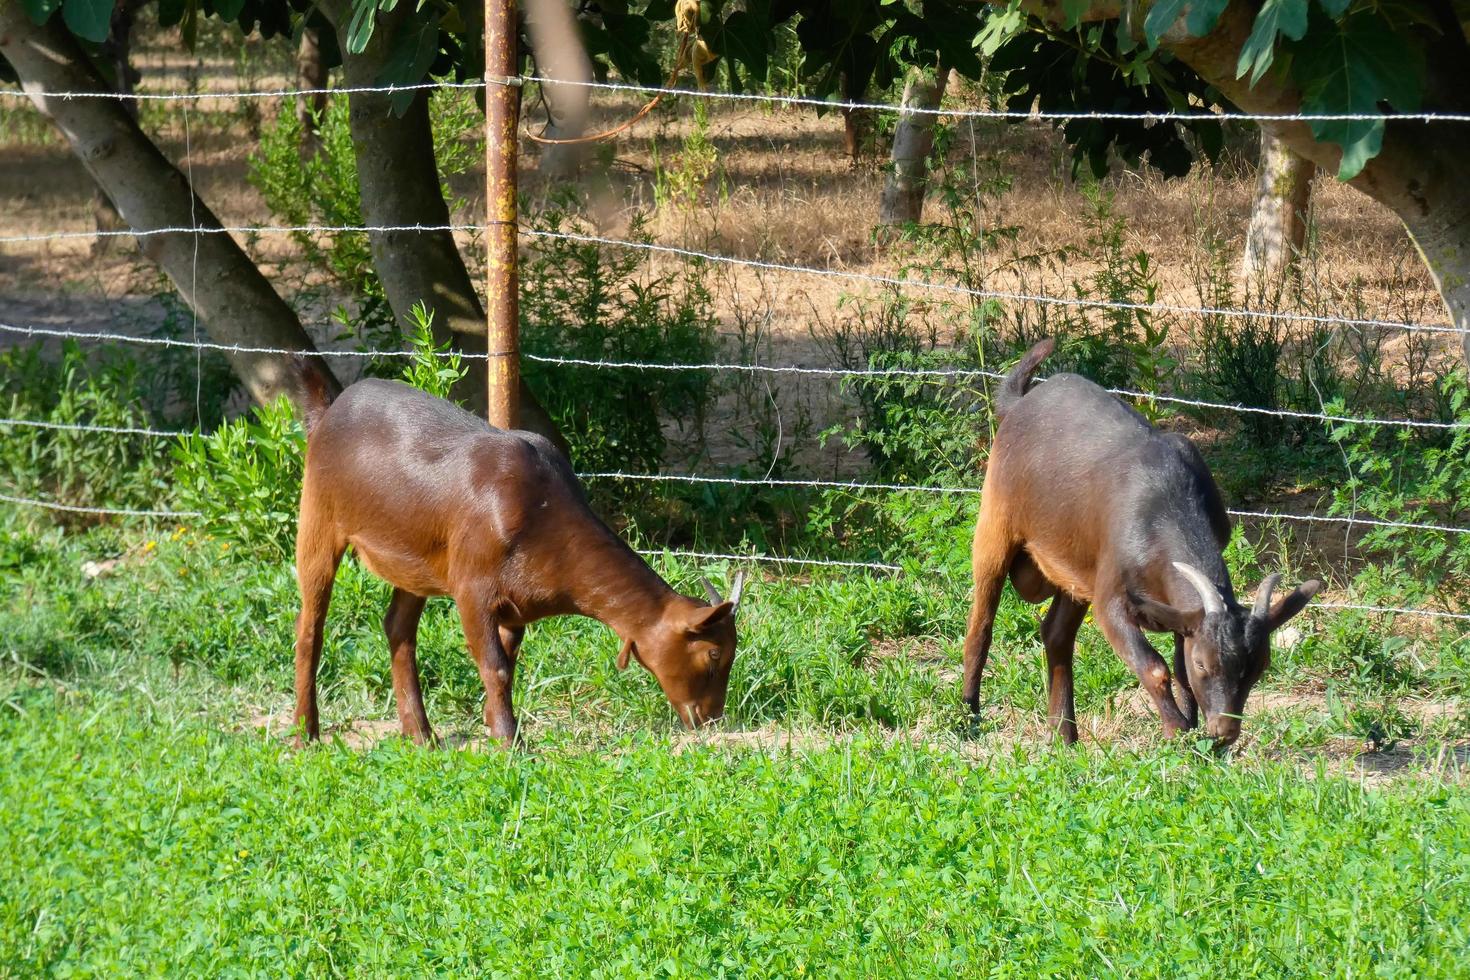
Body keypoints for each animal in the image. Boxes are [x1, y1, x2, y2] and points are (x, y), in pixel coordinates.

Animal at [292, 379, 746, 746]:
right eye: (713, 655)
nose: (710, 718)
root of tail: (329, 410)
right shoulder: (473, 589)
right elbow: (495, 667)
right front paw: (511, 743)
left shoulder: (516, 605)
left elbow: (507, 663)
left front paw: (495, 727)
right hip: (317, 516)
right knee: (310, 628)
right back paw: (305, 735)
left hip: (414, 559)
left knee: (398, 629)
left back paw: (420, 735)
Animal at [964, 340, 1323, 746]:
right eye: (1204, 663)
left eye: (1260, 665)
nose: (1225, 731)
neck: (1165, 506)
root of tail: (1019, 403)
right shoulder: (1111, 598)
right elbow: (1154, 667)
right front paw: (1177, 731)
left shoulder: (1180, 614)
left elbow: (1178, 669)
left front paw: (1195, 735)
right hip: (995, 525)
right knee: (982, 622)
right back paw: (968, 715)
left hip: (1076, 567)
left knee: (1055, 633)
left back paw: (1063, 734)